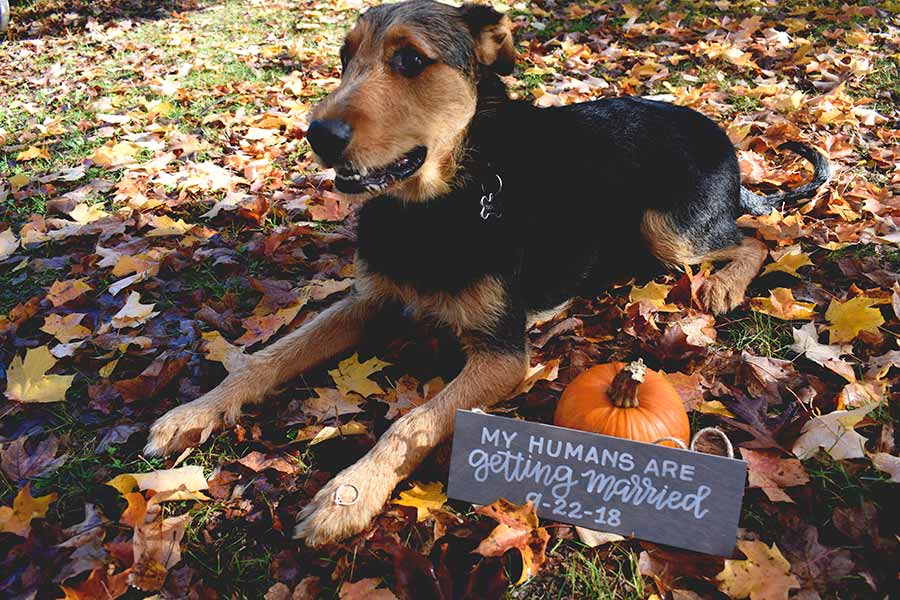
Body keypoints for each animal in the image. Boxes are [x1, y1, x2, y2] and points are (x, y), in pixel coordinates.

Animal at [144, 0, 828, 548]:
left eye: (410, 61)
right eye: (344, 57)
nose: (317, 135)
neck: (438, 206)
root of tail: (727, 144)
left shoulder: (502, 356)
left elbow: (412, 423)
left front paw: (349, 494)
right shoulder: (369, 299)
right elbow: (269, 357)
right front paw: (195, 412)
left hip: (668, 231)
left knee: (756, 238)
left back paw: (724, 283)